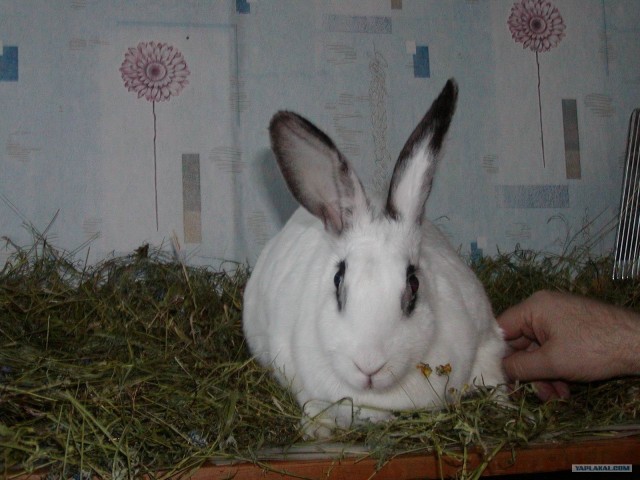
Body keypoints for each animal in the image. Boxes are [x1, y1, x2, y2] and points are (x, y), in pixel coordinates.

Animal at [243, 79, 506, 438]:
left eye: (414, 283)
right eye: (338, 280)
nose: (369, 365)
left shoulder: (486, 337)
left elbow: (492, 372)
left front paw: (503, 404)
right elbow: (313, 405)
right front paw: (316, 431)